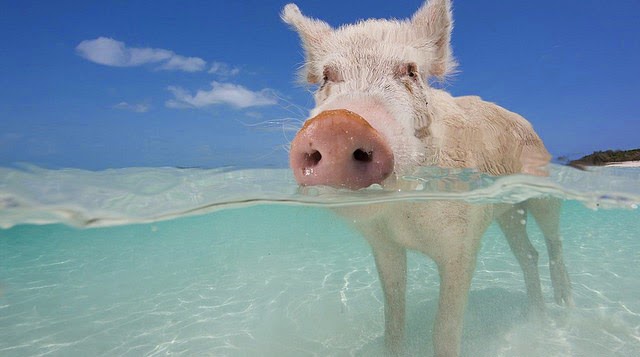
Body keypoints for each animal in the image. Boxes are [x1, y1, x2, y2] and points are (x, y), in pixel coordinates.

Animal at [282, 1, 572, 354]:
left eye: (410, 72)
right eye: (326, 77)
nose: (338, 125)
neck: (405, 215)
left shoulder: (463, 241)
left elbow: (444, 328)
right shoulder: (384, 244)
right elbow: (393, 318)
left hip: (542, 188)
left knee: (552, 237)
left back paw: (564, 305)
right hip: (507, 210)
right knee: (528, 253)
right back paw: (536, 316)